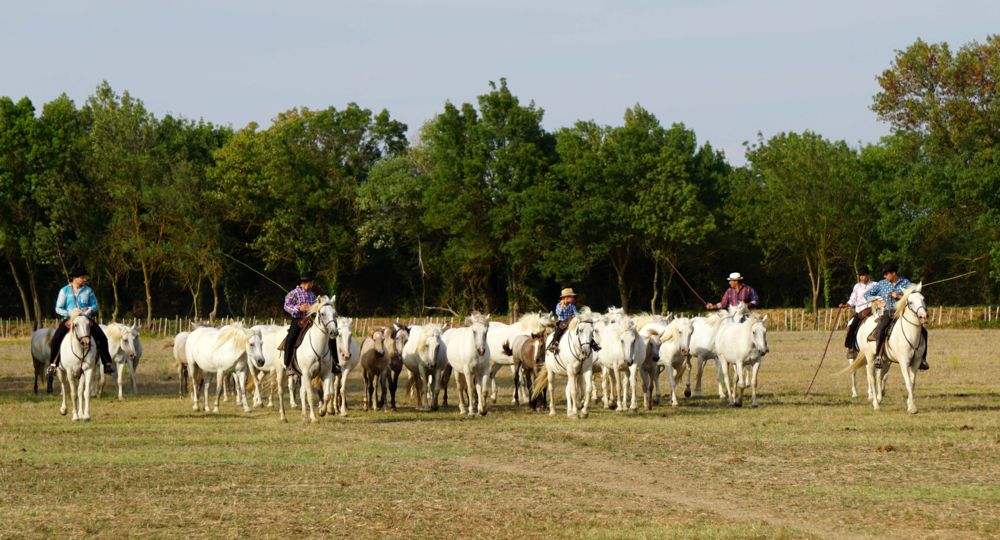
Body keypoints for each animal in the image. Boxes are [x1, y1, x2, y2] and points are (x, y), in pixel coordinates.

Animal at [845, 284, 928, 413]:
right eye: (910, 302)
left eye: (923, 299)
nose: (923, 316)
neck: (910, 333)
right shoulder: (904, 362)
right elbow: (908, 383)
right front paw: (912, 408)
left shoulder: (916, 362)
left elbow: (912, 383)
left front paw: (910, 403)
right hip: (868, 357)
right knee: (870, 377)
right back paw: (874, 403)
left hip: (885, 360)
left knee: (879, 376)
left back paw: (878, 398)